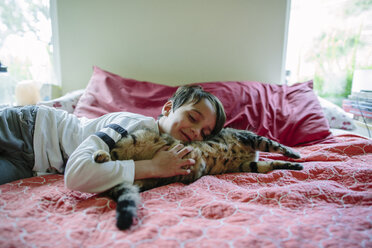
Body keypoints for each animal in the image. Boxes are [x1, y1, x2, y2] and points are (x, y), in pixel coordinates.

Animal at [93, 128, 302, 231]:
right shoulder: (250, 137)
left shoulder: (247, 164)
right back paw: (100, 156)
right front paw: (295, 154)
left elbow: (271, 163)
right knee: (115, 158)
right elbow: (276, 145)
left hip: (148, 178)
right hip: (134, 140)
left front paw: (295, 165)